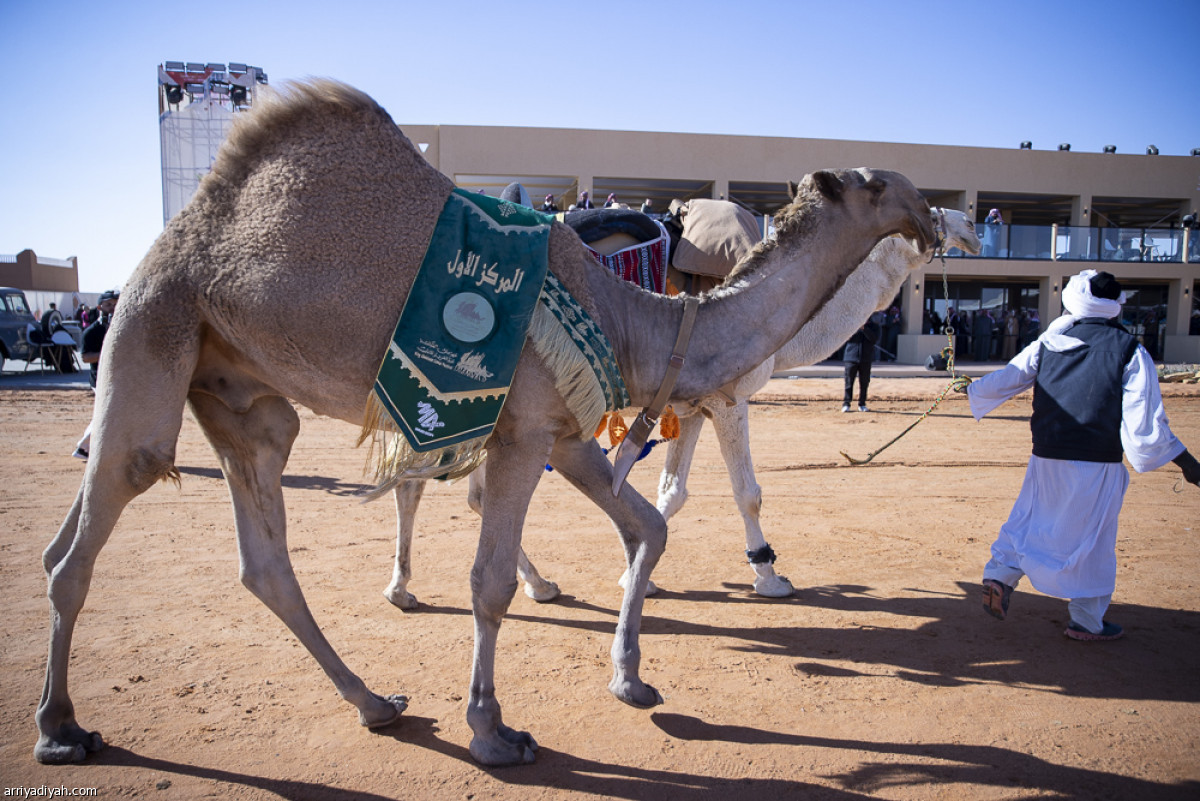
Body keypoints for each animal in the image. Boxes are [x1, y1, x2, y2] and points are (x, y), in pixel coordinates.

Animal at [384, 209, 984, 609]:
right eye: (931, 208)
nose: (972, 227)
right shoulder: (729, 396)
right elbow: (747, 492)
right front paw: (770, 578)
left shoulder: (690, 406)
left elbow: (671, 492)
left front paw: (637, 575)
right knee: (423, 484)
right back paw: (417, 587)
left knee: (460, 491)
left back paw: (519, 583)